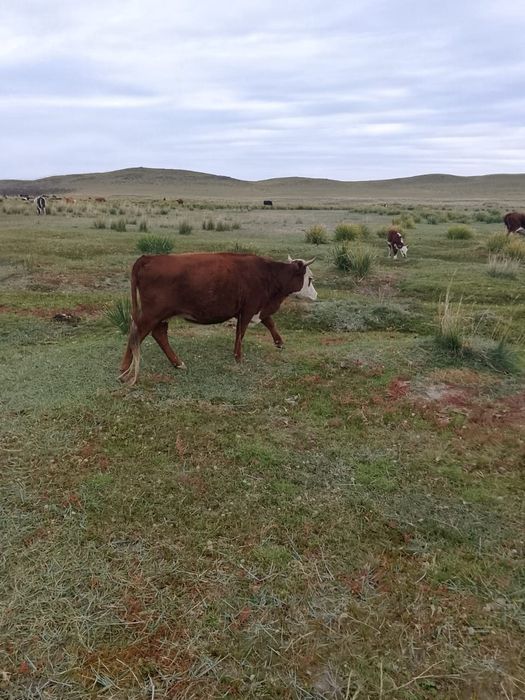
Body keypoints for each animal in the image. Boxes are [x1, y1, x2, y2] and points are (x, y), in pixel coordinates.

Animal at [119, 252, 317, 385]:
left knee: (158, 334)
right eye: (309, 278)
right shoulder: (248, 309)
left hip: (161, 316)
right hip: (152, 314)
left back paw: (177, 363)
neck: (267, 274)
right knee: (137, 335)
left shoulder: (257, 309)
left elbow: (269, 322)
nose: (315, 296)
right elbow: (241, 333)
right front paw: (238, 357)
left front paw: (279, 342)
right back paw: (124, 368)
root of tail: (149, 258)